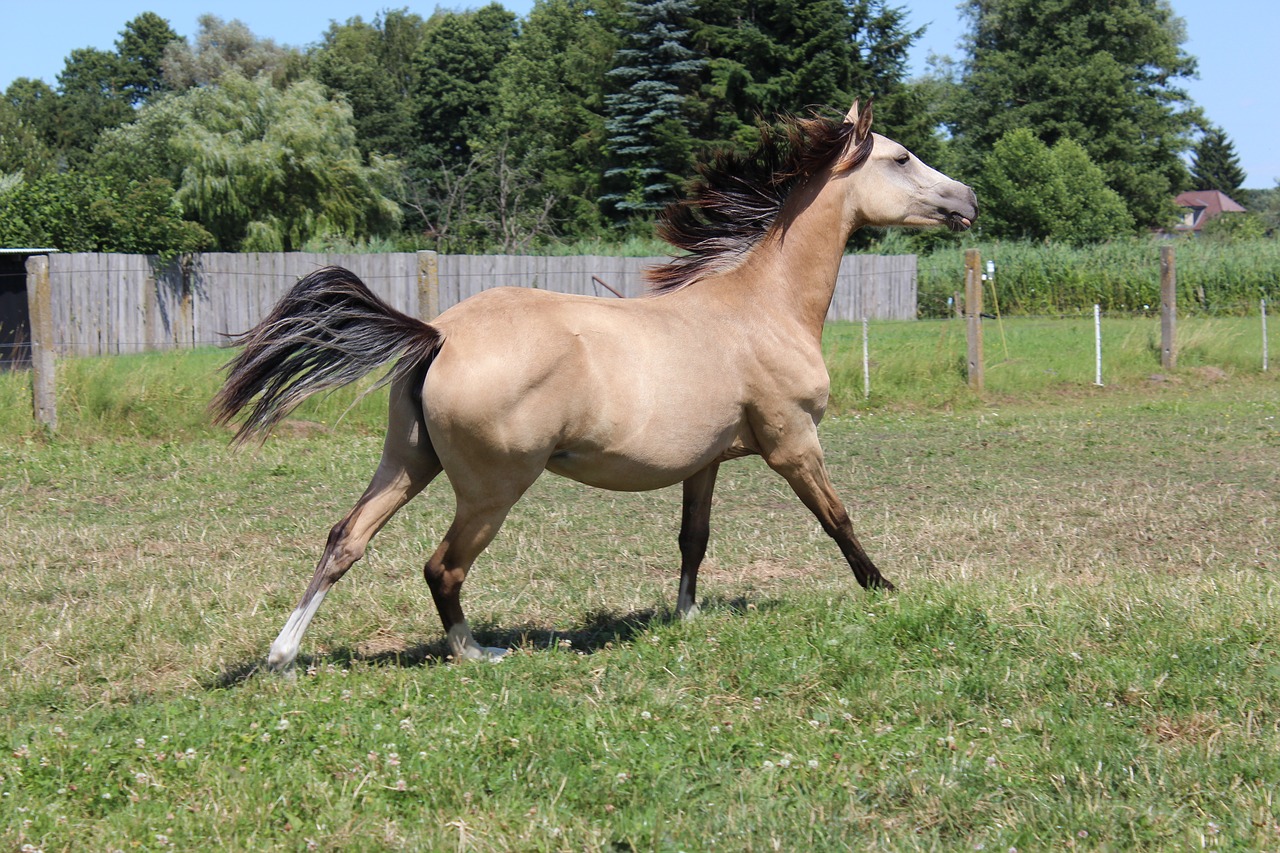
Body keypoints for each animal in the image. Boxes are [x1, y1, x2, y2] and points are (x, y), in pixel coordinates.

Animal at [212, 101, 977, 671]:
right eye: (901, 157)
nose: (967, 198)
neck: (762, 306)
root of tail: (438, 333)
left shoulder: (705, 463)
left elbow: (693, 539)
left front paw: (686, 615)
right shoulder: (794, 442)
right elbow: (837, 517)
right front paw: (884, 588)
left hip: (407, 461)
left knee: (346, 539)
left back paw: (282, 656)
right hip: (491, 490)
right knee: (442, 567)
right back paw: (477, 653)